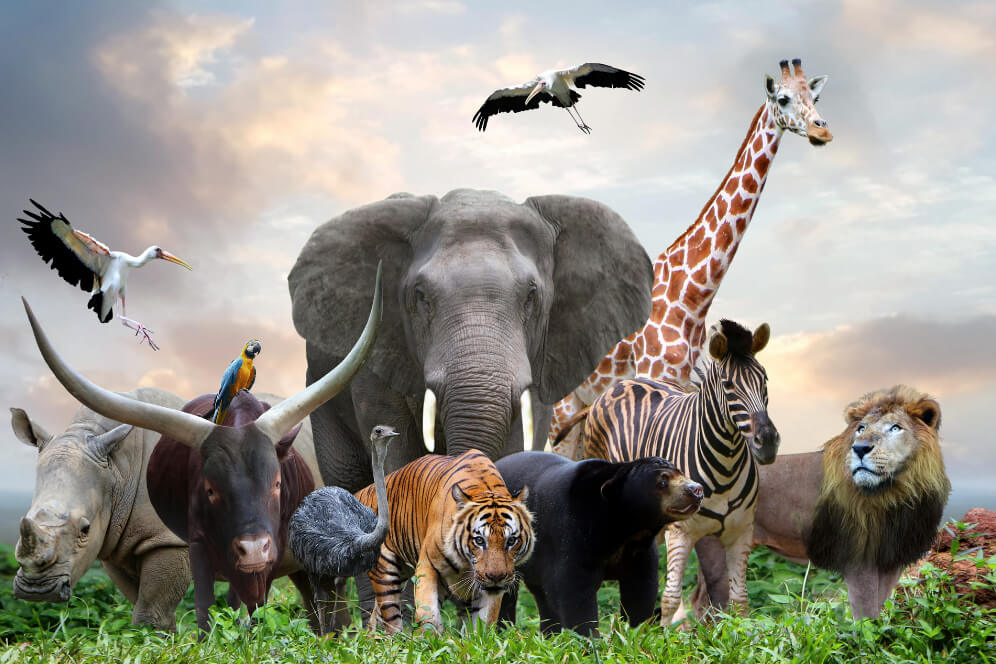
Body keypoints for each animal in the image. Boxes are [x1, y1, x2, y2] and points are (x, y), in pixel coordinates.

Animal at [577, 319, 780, 625]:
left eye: (764, 379)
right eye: (728, 385)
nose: (767, 442)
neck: (725, 463)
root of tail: (623, 382)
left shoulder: (741, 531)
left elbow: (739, 600)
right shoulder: (681, 532)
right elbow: (670, 598)